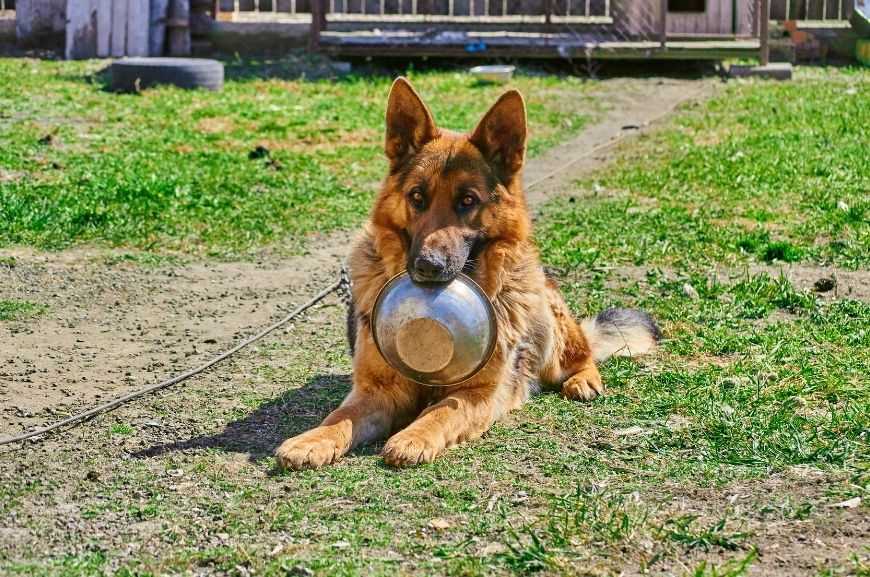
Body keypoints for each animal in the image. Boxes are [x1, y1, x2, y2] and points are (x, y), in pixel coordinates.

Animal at [280, 76, 660, 468]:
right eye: (417, 197)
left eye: (467, 201)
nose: (427, 266)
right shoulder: (377, 390)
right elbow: (341, 417)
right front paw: (312, 439)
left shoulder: (477, 393)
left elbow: (441, 411)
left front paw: (413, 437)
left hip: (548, 318)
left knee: (580, 355)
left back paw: (583, 379)